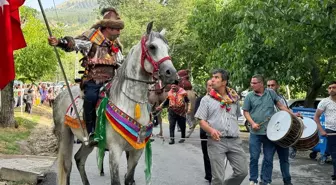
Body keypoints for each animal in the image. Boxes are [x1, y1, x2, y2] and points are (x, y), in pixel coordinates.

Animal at [53, 22, 176, 185]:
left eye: (167, 48)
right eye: (152, 47)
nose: (172, 74)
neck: (131, 104)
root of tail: (60, 95)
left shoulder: (136, 151)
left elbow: (128, 179)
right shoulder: (115, 150)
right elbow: (116, 181)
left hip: (89, 142)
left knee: (79, 159)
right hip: (65, 135)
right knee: (67, 165)